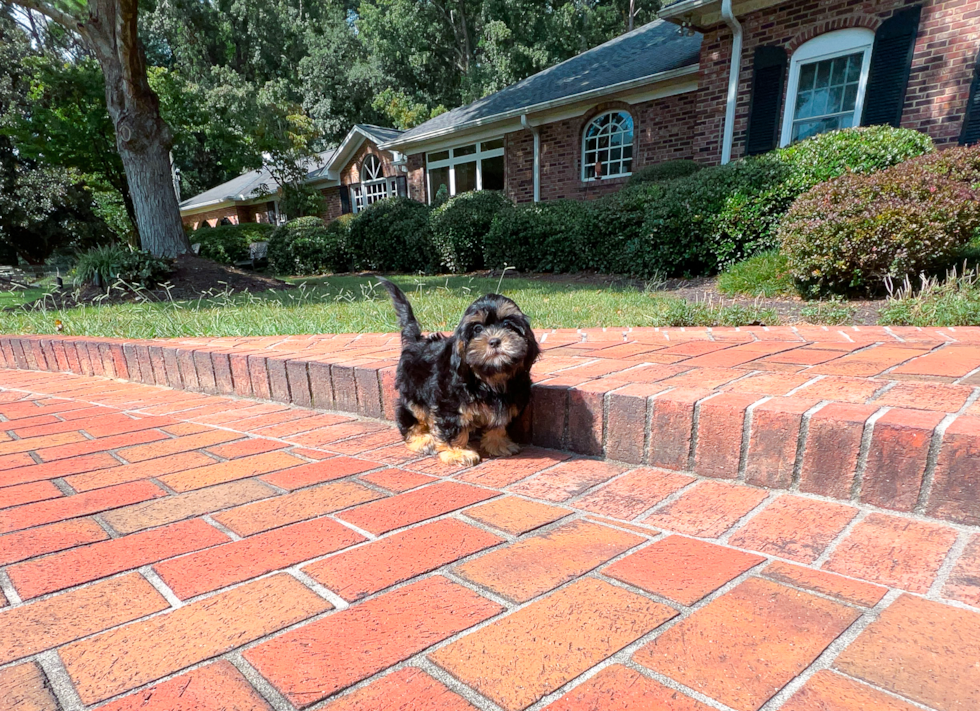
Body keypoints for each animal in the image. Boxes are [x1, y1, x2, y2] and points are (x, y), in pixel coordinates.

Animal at [378, 276, 540, 468]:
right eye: (477, 329)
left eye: (508, 325)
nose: (494, 341)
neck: (489, 377)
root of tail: (417, 341)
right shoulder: (450, 403)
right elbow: (453, 428)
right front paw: (457, 452)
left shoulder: (509, 400)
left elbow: (499, 422)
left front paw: (498, 443)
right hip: (414, 393)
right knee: (411, 416)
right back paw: (422, 440)